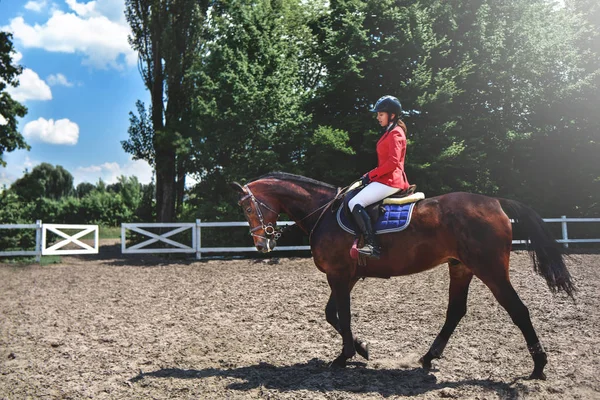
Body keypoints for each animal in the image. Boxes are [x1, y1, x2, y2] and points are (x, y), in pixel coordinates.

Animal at [231, 171, 576, 378]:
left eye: (247, 207)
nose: (262, 244)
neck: (324, 211)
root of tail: (494, 201)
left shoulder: (339, 275)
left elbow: (342, 314)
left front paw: (344, 356)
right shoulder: (346, 275)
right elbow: (333, 314)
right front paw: (362, 348)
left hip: (490, 269)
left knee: (518, 310)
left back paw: (539, 366)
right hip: (461, 267)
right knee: (455, 311)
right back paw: (429, 357)